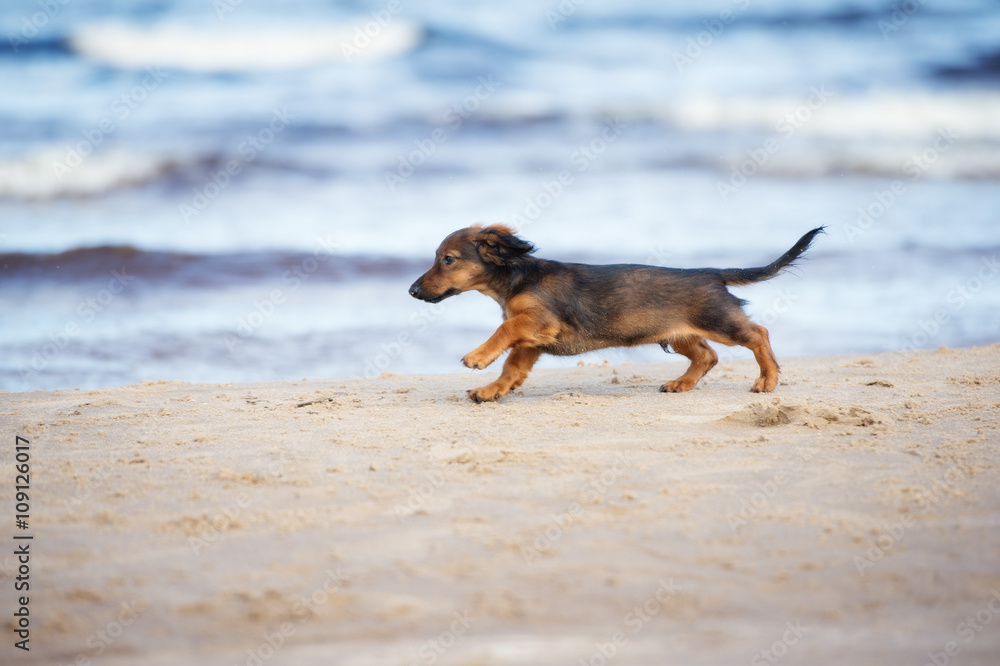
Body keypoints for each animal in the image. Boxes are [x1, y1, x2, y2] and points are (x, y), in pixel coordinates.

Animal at [406, 222, 820, 400]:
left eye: (448, 259)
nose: (411, 291)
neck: (517, 277)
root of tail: (711, 272)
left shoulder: (538, 321)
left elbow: (503, 332)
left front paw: (478, 357)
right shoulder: (533, 339)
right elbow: (512, 367)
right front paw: (491, 390)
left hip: (717, 320)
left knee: (758, 335)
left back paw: (768, 379)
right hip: (677, 334)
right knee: (707, 356)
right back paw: (680, 384)